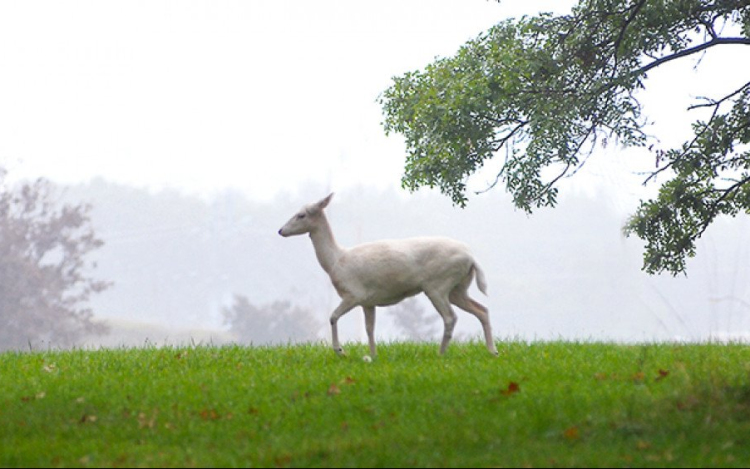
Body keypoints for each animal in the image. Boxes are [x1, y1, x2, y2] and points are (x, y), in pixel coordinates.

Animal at [278, 192, 500, 356]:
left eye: (301, 215)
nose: (281, 230)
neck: (336, 261)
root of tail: (472, 258)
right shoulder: (368, 301)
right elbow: (369, 329)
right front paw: (373, 355)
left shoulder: (354, 293)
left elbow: (332, 317)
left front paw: (340, 351)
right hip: (458, 287)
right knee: (482, 309)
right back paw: (493, 351)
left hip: (438, 284)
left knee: (450, 317)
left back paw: (441, 354)